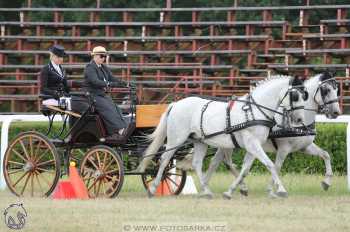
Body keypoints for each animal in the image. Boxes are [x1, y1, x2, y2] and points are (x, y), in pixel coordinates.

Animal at [137, 75, 308, 198]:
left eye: (304, 95)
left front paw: (231, 191)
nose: (300, 119)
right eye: (295, 95)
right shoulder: (252, 143)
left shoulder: (253, 145)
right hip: (176, 138)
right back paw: (153, 188)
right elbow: (270, 165)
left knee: (197, 163)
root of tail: (175, 104)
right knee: (165, 159)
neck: (254, 111)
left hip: (200, 141)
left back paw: (206, 191)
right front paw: (281, 190)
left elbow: (245, 168)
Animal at [204, 71, 340, 198]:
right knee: (225, 162)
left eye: (336, 89)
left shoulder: (304, 147)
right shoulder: (284, 149)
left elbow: (326, 155)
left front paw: (326, 182)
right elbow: (276, 167)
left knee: (216, 162)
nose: (336, 112)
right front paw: (273, 190)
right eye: (326, 90)